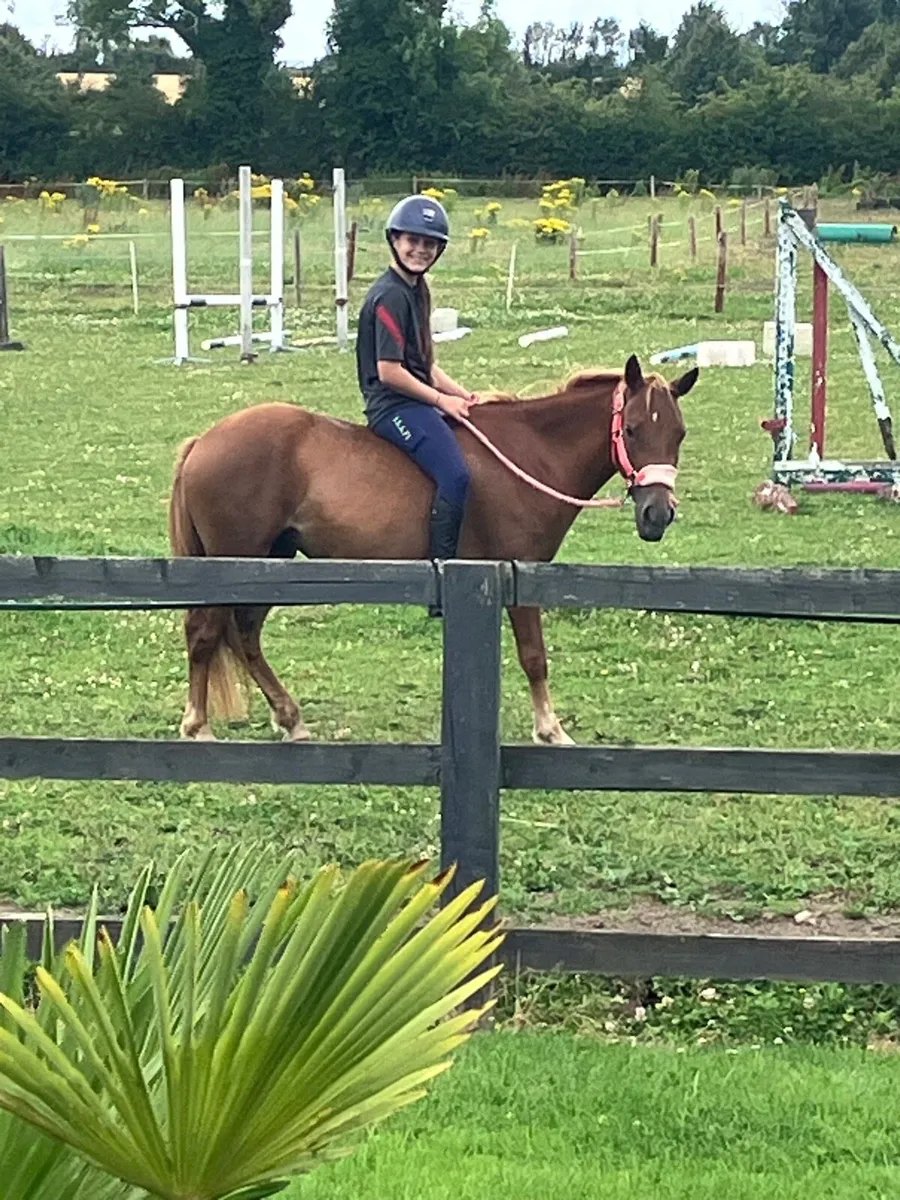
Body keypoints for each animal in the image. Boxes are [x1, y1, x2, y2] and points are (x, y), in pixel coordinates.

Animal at [168, 353, 697, 745]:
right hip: (232, 563)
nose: (658, 513)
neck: (531, 453)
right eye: (632, 429)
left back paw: (289, 717)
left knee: (246, 636)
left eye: (678, 433)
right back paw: (198, 726)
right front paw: (550, 730)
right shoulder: (517, 577)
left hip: (268, 563)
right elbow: (534, 657)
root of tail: (204, 441)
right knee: (205, 632)